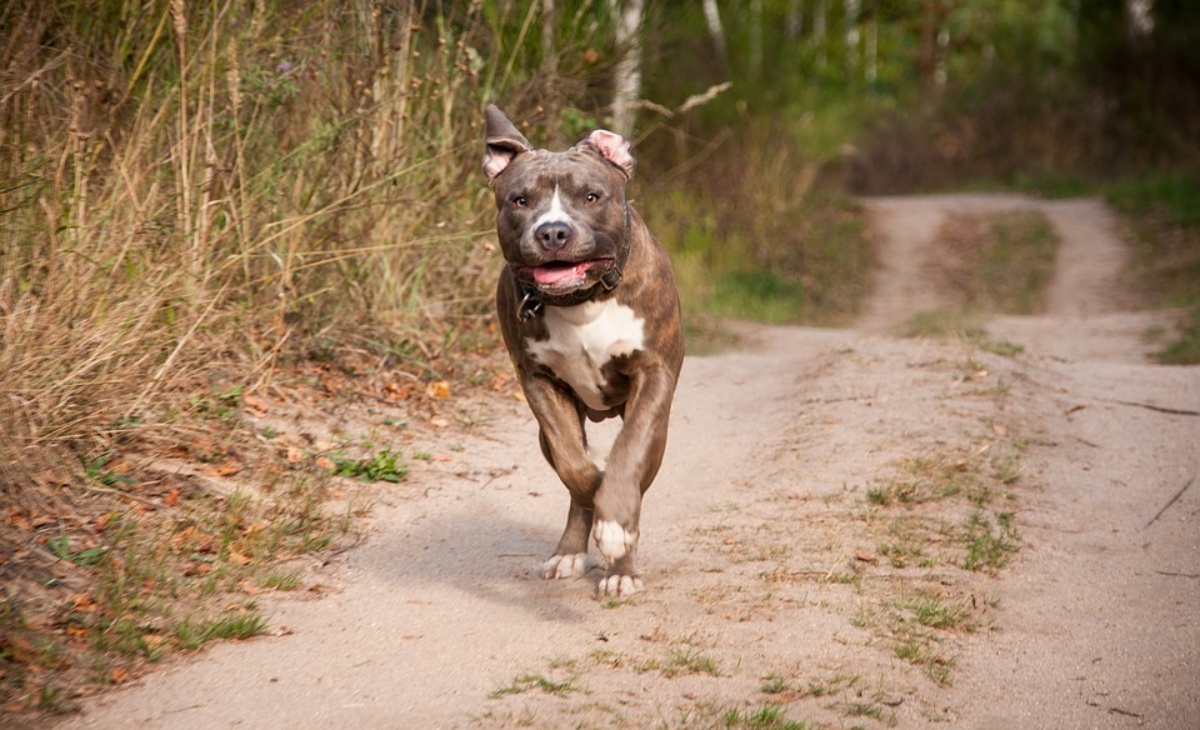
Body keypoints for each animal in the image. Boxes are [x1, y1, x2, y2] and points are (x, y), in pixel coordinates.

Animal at [480, 106, 686, 597]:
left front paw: (616, 528)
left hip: (659, 429)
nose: (553, 231)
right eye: (520, 200)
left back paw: (621, 567)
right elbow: (575, 466)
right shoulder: (537, 381)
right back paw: (572, 550)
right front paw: (595, 492)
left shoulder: (653, 375)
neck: (582, 301)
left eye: (591, 196)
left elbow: (628, 456)